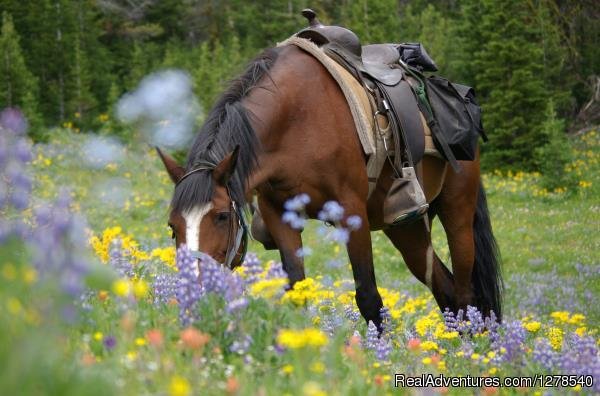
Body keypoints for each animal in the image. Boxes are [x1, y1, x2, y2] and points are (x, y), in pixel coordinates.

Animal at [158, 43, 502, 330]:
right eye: (173, 226)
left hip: (458, 212)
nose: (194, 293)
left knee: (464, 294)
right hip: (407, 229)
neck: (296, 120)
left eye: (221, 216)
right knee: (445, 289)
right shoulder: (279, 215)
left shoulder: (351, 213)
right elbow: (296, 293)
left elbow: (369, 299)